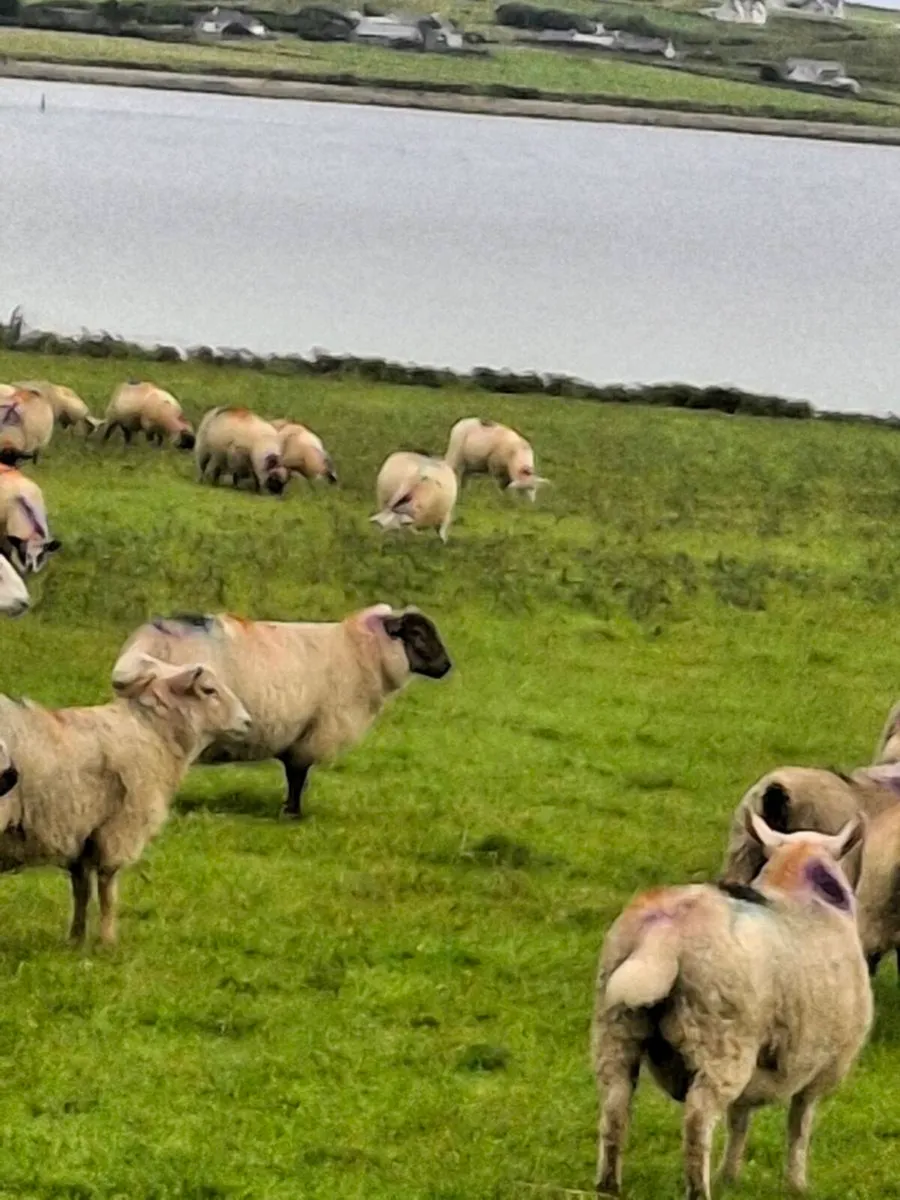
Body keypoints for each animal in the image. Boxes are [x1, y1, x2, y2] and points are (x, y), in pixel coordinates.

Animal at [0, 655, 250, 945]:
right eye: (209, 690)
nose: (248, 722)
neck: (154, 734)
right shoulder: (118, 829)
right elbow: (108, 890)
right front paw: (108, 943)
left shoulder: (81, 833)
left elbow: (81, 889)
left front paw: (76, 939)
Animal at [112, 603, 452, 818]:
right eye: (417, 635)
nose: (447, 666)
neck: (358, 651)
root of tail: (144, 645)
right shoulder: (313, 730)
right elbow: (298, 775)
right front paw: (292, 813)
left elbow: (294, 773)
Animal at [593, 814, 872, 1200]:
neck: (797, 883)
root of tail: (668, 929)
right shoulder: (823, 1068)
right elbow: (799, 1127)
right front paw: (796, 1184)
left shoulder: (759, 1072)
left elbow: (739, 1120)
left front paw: (730, 1175)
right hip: (721, 1041)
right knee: (697, 1120)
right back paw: (699, 1190)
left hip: (616, 1027)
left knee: (615, 1106)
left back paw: (608, 1185)